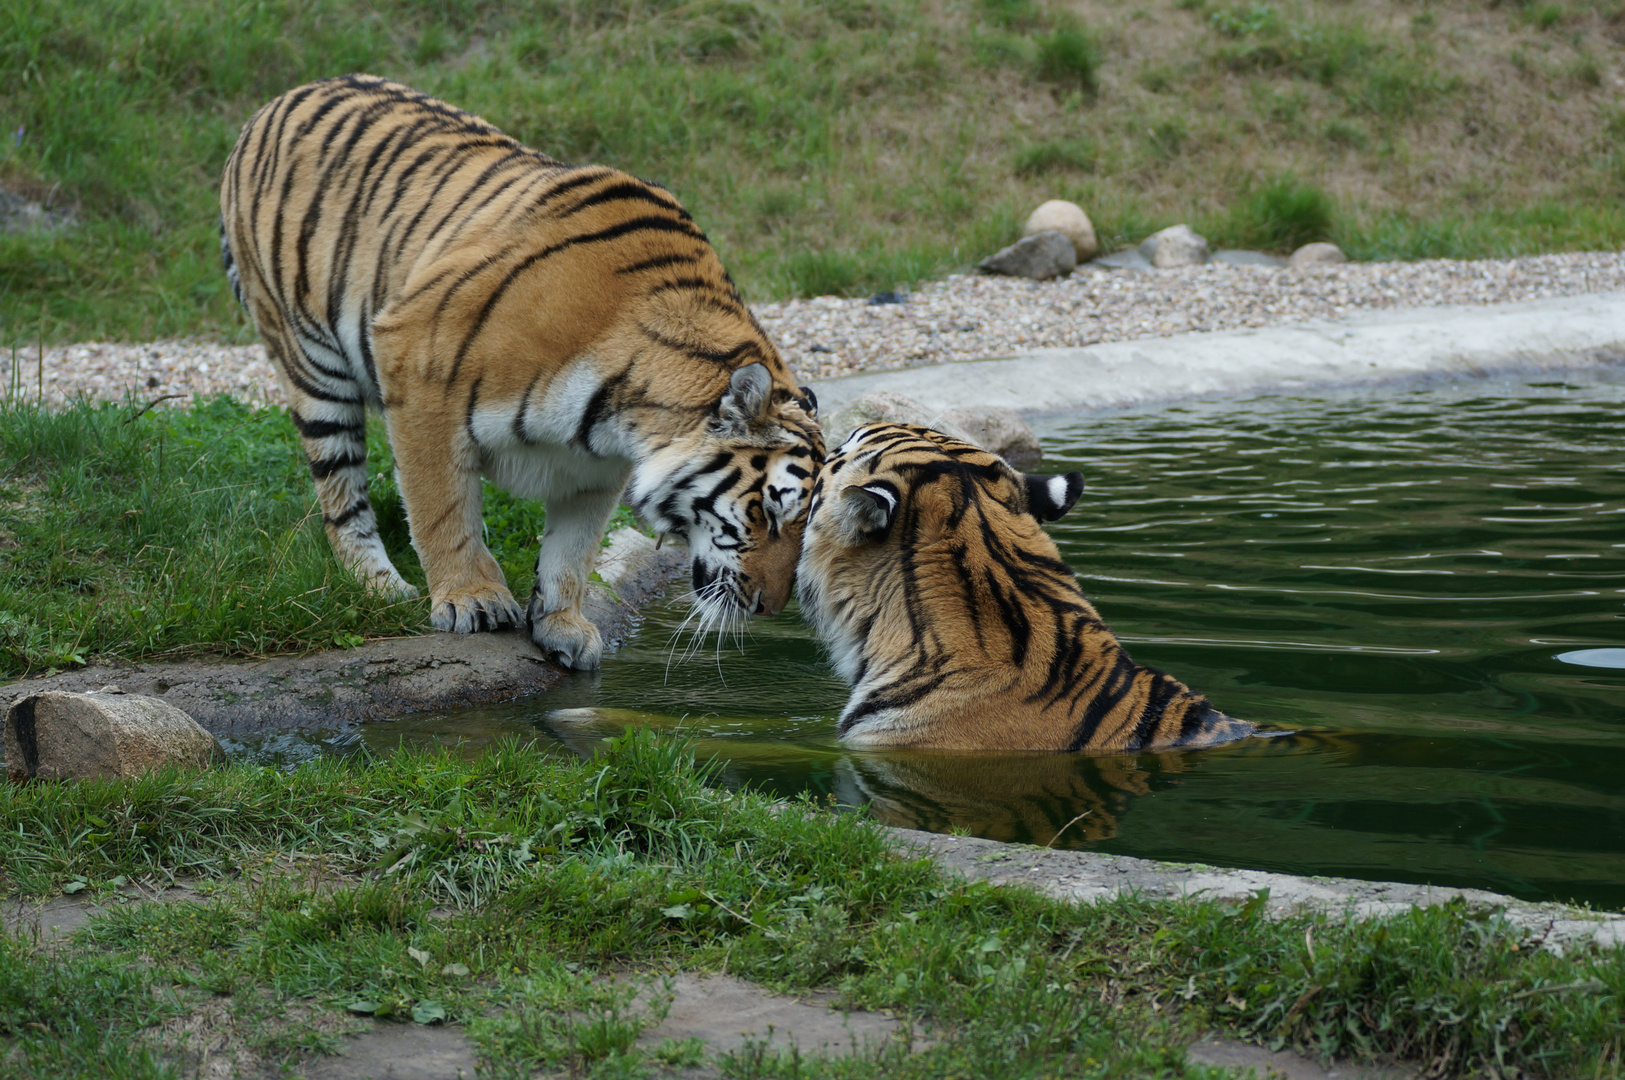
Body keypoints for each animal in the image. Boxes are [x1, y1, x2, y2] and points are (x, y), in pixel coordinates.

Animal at [216, 75, 819, 665]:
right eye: (769, 512)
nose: (770, 607)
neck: (623, 411)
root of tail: (277, 101)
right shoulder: (416, 365)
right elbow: (440, 505)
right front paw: (471, 598)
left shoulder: (597, 466)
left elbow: (573, 549)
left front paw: (561, 624)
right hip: (312, 365)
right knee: (343, 498)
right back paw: (382, 586)